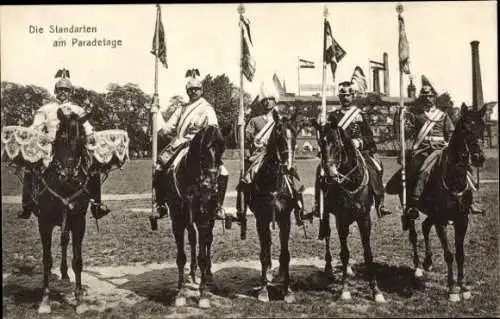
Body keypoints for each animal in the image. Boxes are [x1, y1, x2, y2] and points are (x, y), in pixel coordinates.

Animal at [35, 109, 94, 314]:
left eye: (82, 139)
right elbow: (46, 260)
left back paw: (65, 274)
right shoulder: (44, 223)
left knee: (64, 242)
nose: (69, 174)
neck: (64, 187)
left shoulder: (78, 222)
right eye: (61, 138)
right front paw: (45, 300)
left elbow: (77, 260)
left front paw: (80, 300)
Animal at [155, 125, 226, 310]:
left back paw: (208, 275)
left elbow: (203, 257)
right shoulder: (178, 220)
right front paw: (180, 293)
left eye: (221, 153)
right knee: (193, 240)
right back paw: (192, 274)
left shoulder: (203, 220)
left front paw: (203, 295)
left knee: (207, 241)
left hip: (209, 220)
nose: (210, 186)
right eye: (202, 154)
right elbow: (181, 258)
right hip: (188, 220)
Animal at [242, 110, 300, 304]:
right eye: (279, 134)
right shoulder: (261, 220)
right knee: (266, 248)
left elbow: (285, 254)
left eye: (295, 134)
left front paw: (287, 291)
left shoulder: (284, 219)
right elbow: (264, 254)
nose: (288, 167)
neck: (272, 181)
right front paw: (263, 290)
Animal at [312, 116, 386, 304]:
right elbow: (344, 253)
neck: (351, 180)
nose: (329, 175)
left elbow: (368, 253)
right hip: (326, 215)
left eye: (337, 143)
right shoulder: (341, 219)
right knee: (328, 235)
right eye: (321, 143)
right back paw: (329, 268)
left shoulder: (364, 218)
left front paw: (376, 290)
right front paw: (344, 290)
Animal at [398, 105, 484, 302]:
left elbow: (460, 254)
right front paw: (452, 289)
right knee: (414, 234)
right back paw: (418, 267)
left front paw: (463, 286)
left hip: (432, 214)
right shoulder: (441, 221)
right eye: (466, 128)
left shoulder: (461, 220)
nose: (479, 157)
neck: (454, 179)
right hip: (413, 211)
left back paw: (428, 262)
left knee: (425, 227)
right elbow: (449, 254)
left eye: (482, 128)